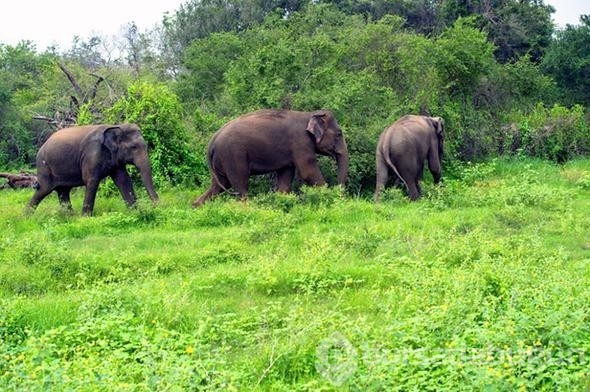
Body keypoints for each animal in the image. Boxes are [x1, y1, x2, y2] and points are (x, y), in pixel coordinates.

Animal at [27, 123, 160, 216]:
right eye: (133, 147)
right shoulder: (92, 154)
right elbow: (91, 181)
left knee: (63, 192)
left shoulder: (115, 159)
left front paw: (135, 212)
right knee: (43, 190)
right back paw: (26, 218)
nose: (157, 207)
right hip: (44, 167)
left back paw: (70, 217)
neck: (117, 125)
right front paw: (85, 218)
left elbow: (123, 180)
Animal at [194, 107, 352, 205]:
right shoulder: (301, 142)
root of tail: (212, 142)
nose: (339, 192)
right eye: (339, 134)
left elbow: (285, 176)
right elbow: (308, 172)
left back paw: (196, 207)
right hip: (232, 156)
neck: (308, 114)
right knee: (240, 184)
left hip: (221, 161)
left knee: (219, 185)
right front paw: (329, 197)